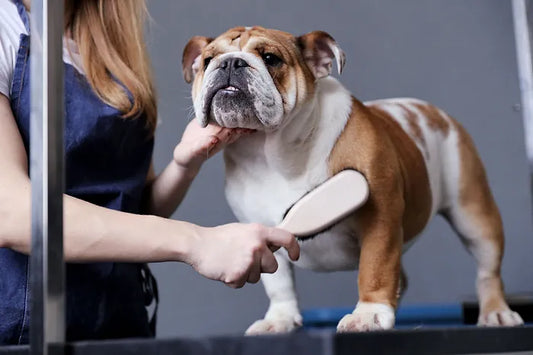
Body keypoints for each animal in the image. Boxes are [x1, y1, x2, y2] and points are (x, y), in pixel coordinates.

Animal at [181, 25, 520, 334]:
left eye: (270, 58)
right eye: (208, 60)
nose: (230, 63)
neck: (270, 150)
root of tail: (434, 112)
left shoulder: (380, 220)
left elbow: (375, 268)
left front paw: (368, 315)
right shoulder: (262, 229)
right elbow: (278, 282)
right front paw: (279, 319)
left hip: (474, 214)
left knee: (487, 270)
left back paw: (496, 312)